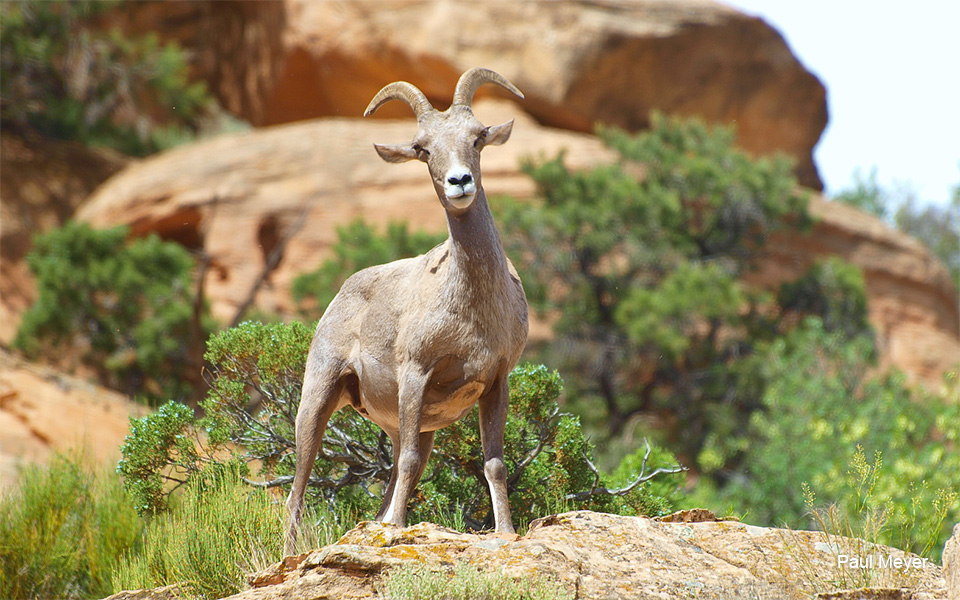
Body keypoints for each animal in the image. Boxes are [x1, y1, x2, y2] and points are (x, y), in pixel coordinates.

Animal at [284, 68, 528, 552]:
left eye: (477, 137)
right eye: (422, 148)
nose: (459, 182)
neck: (472, 310)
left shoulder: (495, 382)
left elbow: (493, 464)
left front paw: (507, 532)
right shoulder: (416, 374)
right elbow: (413, 462)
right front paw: (398, 529)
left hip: (401, 423)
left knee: (390, 477)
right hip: (318, 398)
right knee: (297, 492)